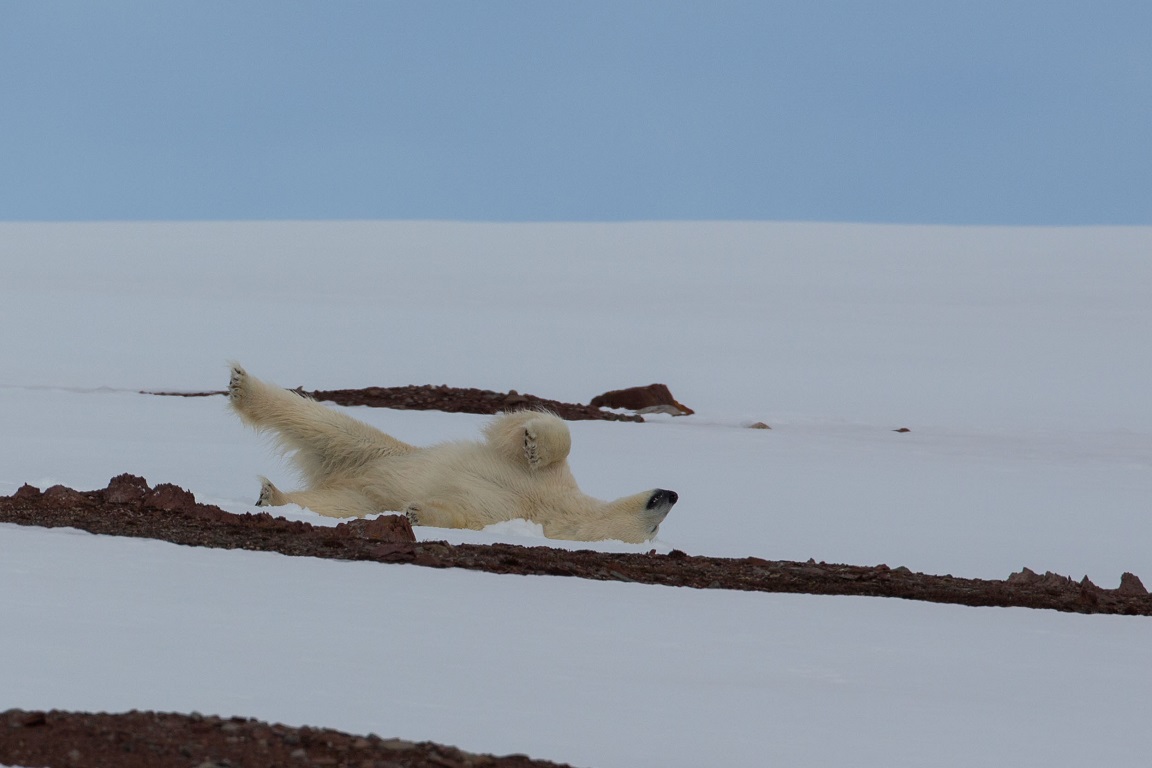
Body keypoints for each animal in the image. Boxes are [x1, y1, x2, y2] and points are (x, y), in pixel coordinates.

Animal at [226, 366, 672, 541]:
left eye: (654, 531)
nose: (671, 494)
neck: (555, 509)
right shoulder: (553, 481)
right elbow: (526, 433)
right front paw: (531, 441)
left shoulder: (511, 516)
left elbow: (464, 515)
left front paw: (417, 512)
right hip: (380, 452)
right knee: (327, 423)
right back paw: (242, 384)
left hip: (360, 490)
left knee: (336, 498)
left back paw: (271, 495)